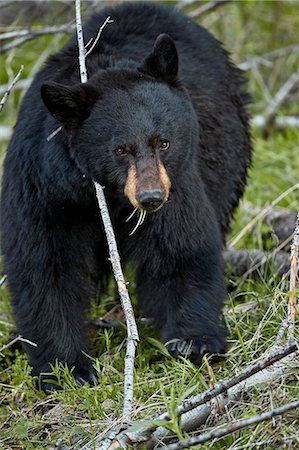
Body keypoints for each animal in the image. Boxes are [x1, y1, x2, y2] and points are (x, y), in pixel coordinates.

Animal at [0, 0, 251, 390]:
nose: (150, 197)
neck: (105, 196)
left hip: (225, 146)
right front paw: (67, 370)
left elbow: (180, 249)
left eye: (163, 142)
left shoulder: (178, 181)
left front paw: (193, 341)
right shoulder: (45, 189)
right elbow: (46, 268)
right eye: (121, 149)